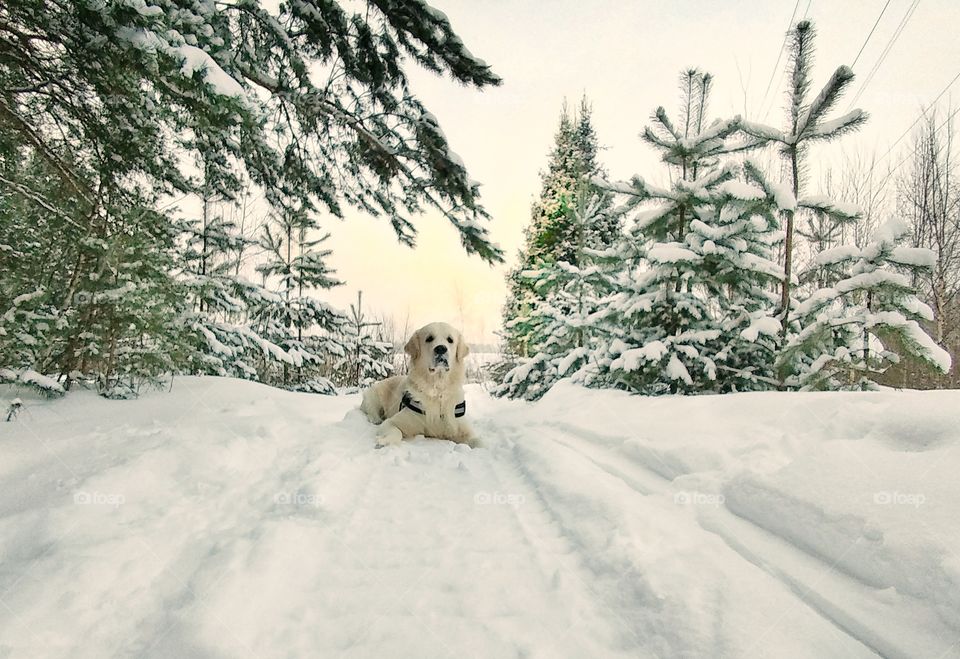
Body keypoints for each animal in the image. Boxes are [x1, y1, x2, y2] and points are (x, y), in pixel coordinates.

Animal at [360, 320, 476, 448]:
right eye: (429, 338)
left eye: (450, 340)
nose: (441, 348)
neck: (437, 389)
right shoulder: (392, 422)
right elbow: (396, 432)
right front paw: (385, 441)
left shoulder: (462, 428)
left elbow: (479, 441)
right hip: (373, 394)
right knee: (370, 410)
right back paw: (375, 419)